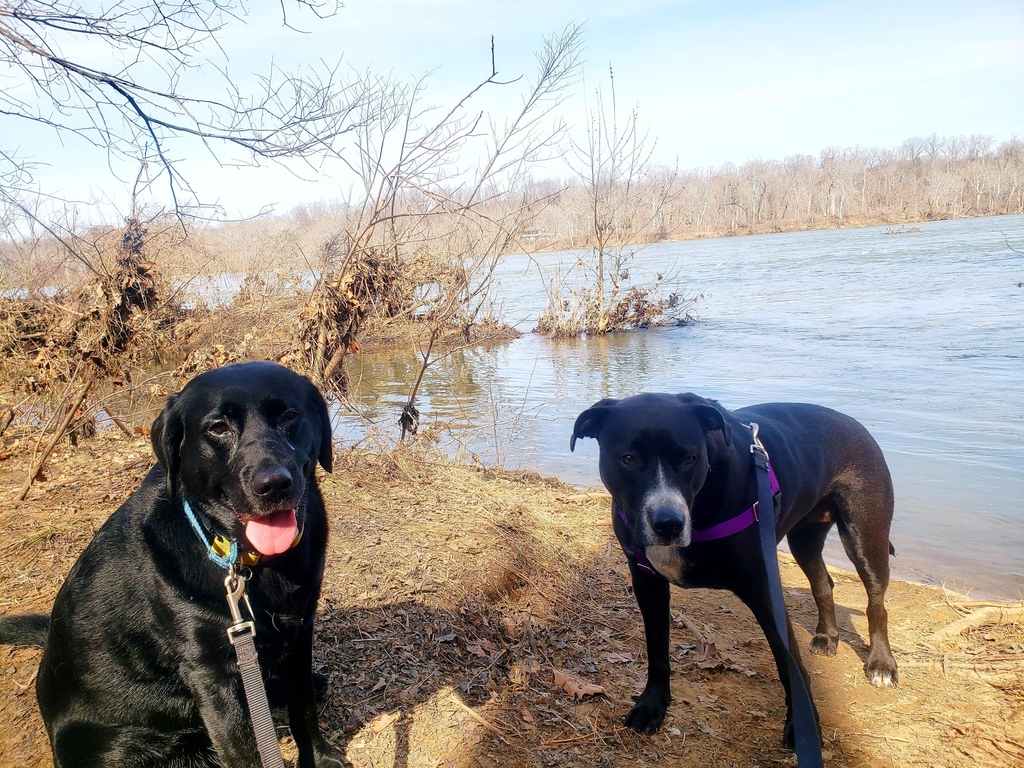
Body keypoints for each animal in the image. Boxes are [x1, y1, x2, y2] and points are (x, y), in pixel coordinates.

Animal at [0, 362, 344, 768]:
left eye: (289, 416)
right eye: (218, 428)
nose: (273, 484)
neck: (245, 560)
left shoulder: (300, 629)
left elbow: (303, 708)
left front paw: (321, 758)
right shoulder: (212, 674)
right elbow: (245, 751)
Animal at [573, 393, 901, 749]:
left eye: (690, 458)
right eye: (628, 459)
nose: (668, 523)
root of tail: (856, 425)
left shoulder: (764, 588)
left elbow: (789, 662)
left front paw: (803, 727)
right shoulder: (647, 582)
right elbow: (657, 650)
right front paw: (652, 705)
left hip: (865, 535)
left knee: (876, 602)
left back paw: (882, 663)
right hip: (805, 537)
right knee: (823, 583)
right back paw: (828, 637)